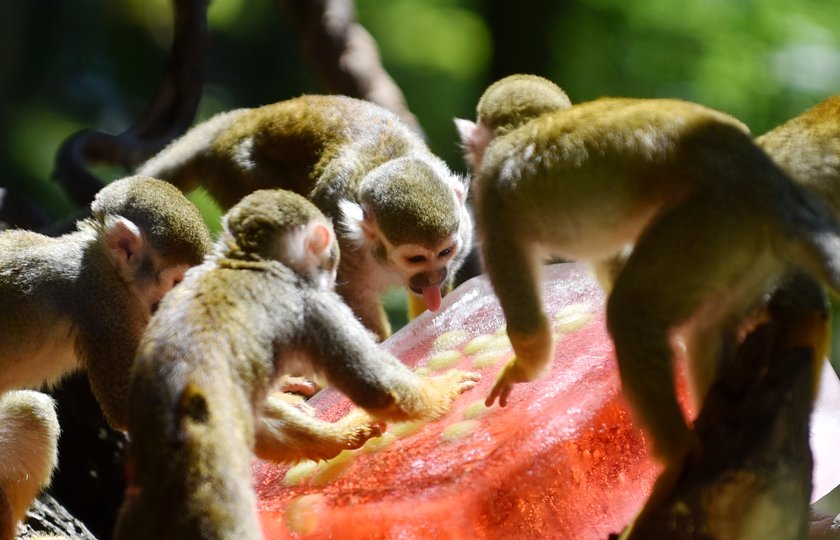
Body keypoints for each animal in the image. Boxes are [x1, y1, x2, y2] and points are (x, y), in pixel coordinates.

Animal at [113, 189, 480, 540]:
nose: (333, 269)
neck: (245, 262)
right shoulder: (311, 305)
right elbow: (376, 387)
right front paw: (444, 389)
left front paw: (341, 437)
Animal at [138, 96, 472, 342]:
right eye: (416, 259)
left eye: (445, 252)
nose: (433, 277)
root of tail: (234, 123)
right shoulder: (344, 245)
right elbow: (352, 297)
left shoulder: (464, 234)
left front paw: (433, 307)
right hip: (239, 170)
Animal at [460, 74, 840, 470]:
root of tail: (762, 175)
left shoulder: (490, 198)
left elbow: (530, 327)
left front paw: (521, 369)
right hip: (740, 240)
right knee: (704, 324)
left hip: (711, 216)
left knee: (631, 311)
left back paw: (677, 449)